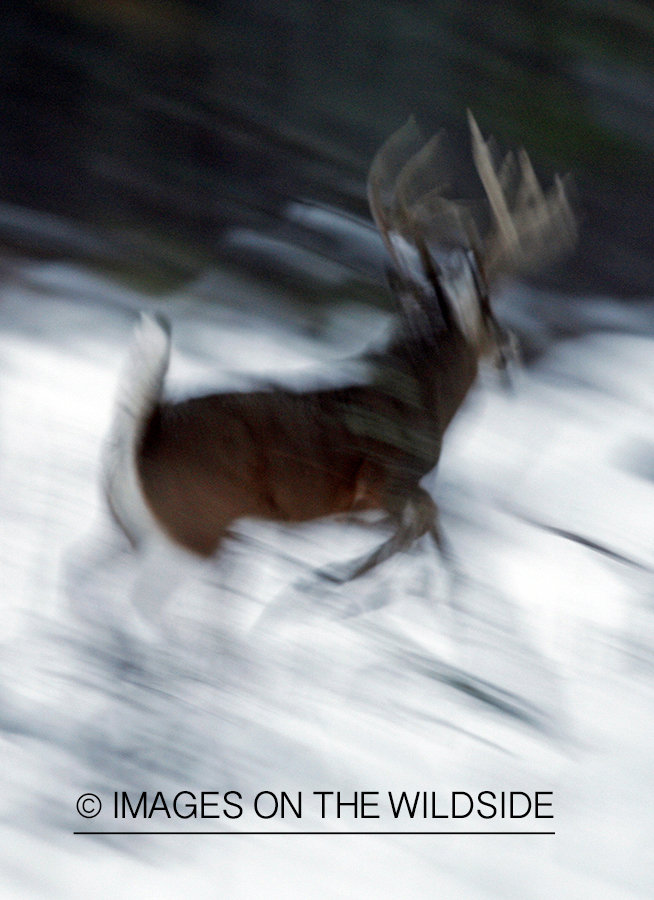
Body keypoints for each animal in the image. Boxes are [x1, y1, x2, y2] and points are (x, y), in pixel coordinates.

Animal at [101, 114, 576, 584]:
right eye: (489, 314)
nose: (510, 351)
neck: (427, 399)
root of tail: (145, 434)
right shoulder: (386, 480)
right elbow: (426, 521)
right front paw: (340, 579)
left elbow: (423, 528)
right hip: (199, 523)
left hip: (147, 528)